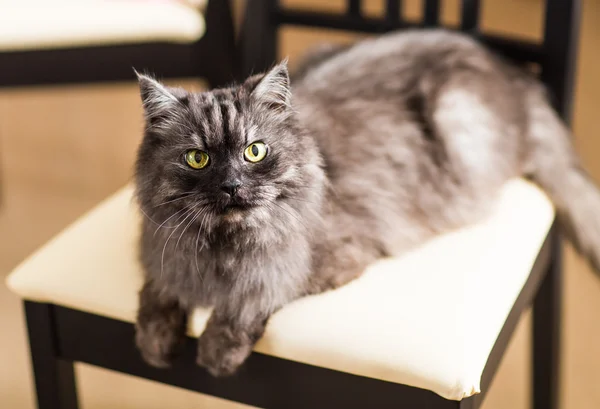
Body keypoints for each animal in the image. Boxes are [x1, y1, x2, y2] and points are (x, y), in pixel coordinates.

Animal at [134, 29, 596, 376]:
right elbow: (156, 292)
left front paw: (215, 350)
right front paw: (154, 341)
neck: (221, 249)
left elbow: (252, 298)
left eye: (255, 151)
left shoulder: (321, 264)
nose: (231, 185)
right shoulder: (163, 252)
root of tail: (521, 81)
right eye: (198, 158)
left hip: (459, 121)